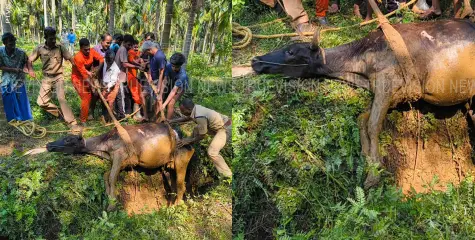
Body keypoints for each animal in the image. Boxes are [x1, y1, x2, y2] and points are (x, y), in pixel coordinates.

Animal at [253, 19, 475, 188]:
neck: (357, 64)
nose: (256, 60)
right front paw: (368, 160)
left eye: (291, 51)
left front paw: (374, 174)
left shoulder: (387, 82)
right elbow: (362, 119)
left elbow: (373, 125)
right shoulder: (387, 93)